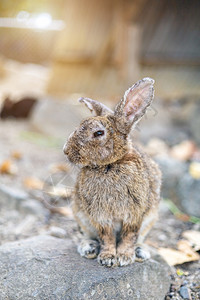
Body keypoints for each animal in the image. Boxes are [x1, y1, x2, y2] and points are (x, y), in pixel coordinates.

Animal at [63, 78, 162, 268]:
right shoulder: (100, 216)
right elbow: (106, 237)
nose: (66, 151)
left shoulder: (135, 214)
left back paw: (140, 251)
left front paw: (124, 257)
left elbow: (128, 236)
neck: (110, 164)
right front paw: (108, 257)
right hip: (81, 217)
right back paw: (89, 248)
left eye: (99, 133)